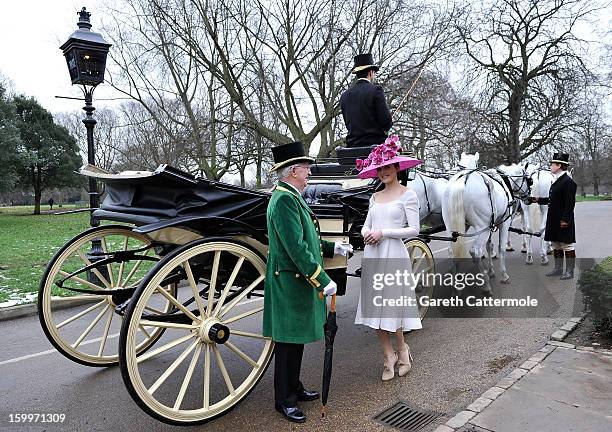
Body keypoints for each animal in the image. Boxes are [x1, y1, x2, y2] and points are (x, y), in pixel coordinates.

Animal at [440, 163, 532, 294]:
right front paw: (503, 274)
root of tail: (462, 180)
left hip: (454, 228)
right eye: (530, 181)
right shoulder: (503, 223)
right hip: (482, 227)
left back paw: (456, 287)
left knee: (452, 252)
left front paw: (491, 271)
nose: (529, 199)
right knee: (476, 251)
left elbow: (489, 246)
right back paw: (486, 284)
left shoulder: (490, 225)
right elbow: (501, 248)